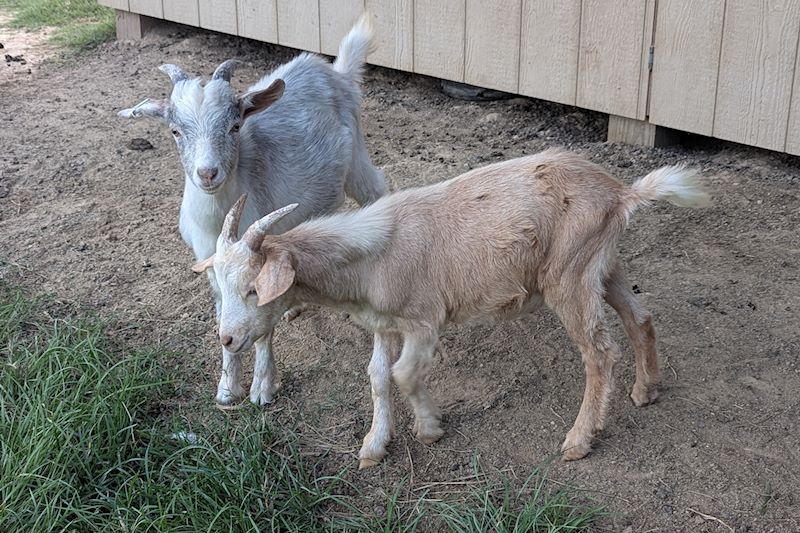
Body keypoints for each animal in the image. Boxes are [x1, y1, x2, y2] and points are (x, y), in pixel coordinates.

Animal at [120, 14, 386, 406]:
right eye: (174, 131)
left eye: (234, 126)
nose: (207, 173)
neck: (217, 218)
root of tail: (332, 70)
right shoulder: (212, 262)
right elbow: (226, 312)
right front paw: (227, 386)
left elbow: (261, 325)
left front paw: (262, 387)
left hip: (357, 163)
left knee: (376, 189)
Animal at [193, 149, 710, 467]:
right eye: (223, 283)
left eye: (255, 289)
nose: (228, 339)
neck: (370, 257)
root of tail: (622, 193)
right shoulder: (384, 324)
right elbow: (377, 377)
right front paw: (374, 445)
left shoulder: (424, 321)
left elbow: (404, 375)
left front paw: (429, 429)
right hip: (602, 265)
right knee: (640, 317)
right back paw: (646, 390)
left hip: (569, 276)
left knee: (599, 353)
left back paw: (579, 440)